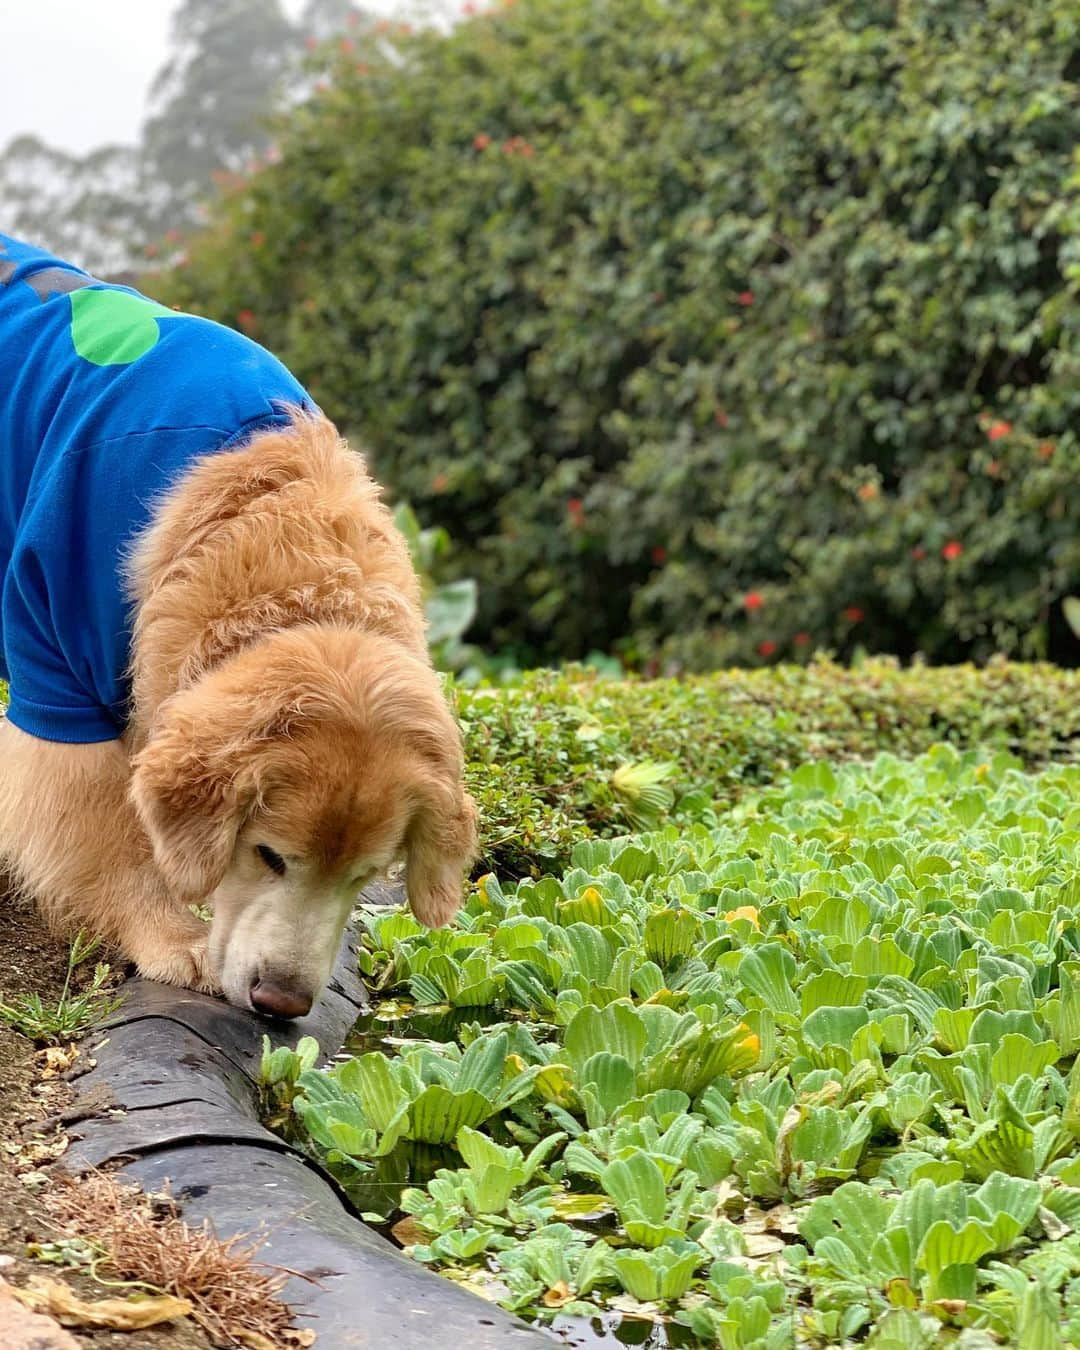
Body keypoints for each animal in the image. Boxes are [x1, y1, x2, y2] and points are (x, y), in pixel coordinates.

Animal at [1, 237, 472, 1015]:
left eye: (365, 875)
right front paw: (168, 936)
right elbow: (107, 832)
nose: (281, 1004)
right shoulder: (55, 668)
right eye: (269, 854)